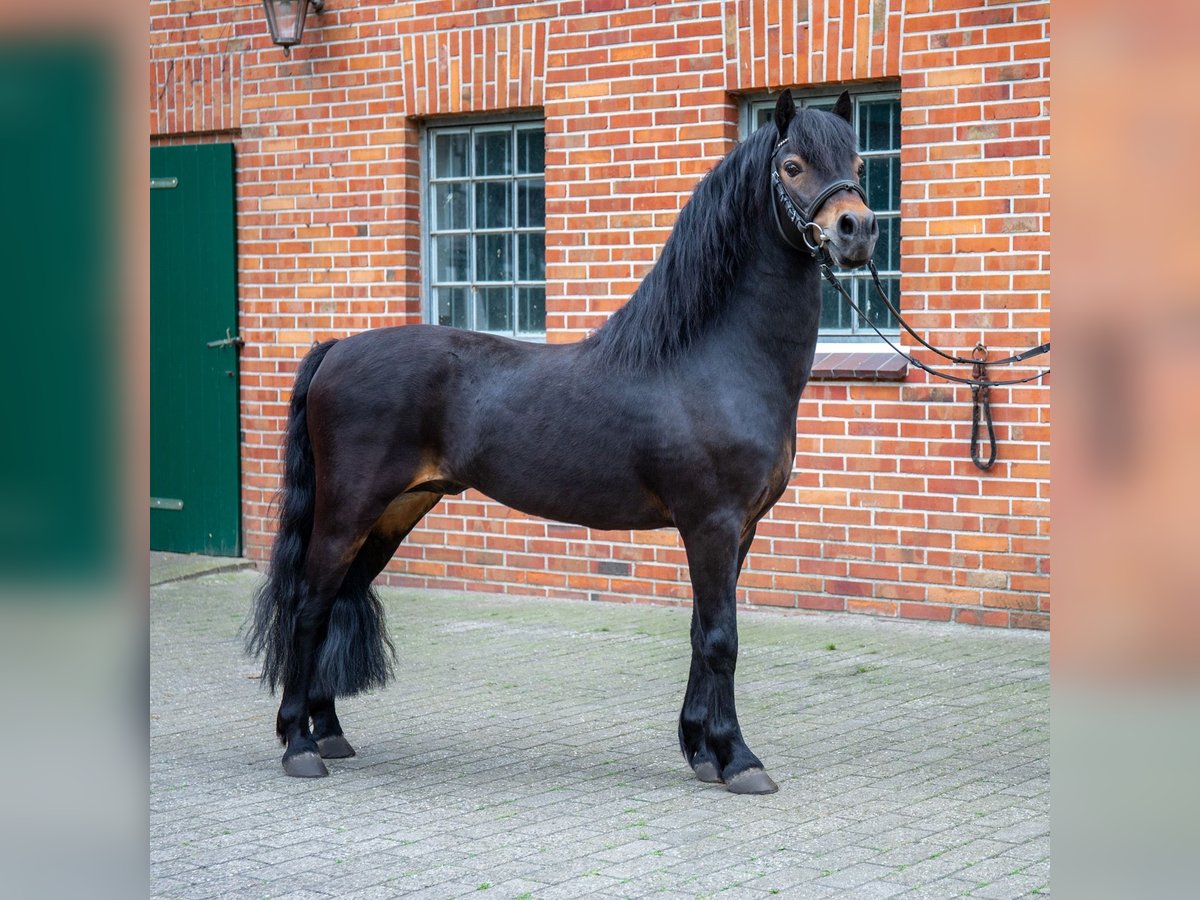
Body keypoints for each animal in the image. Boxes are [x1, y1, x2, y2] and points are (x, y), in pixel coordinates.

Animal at [248, 90, 878, 796]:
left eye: (857, 161)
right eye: (793, 166)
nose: (856, 229)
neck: (714, 360)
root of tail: (334, 350)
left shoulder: (739, 530)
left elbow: (700, 633)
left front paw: (700, 749)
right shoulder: (711, 525)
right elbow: (722, 639)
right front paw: (738, 759)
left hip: (395, 512)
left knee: (337, 600)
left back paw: (329, 730)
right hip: (348, 510)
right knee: (308, 605)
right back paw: (301, 745)